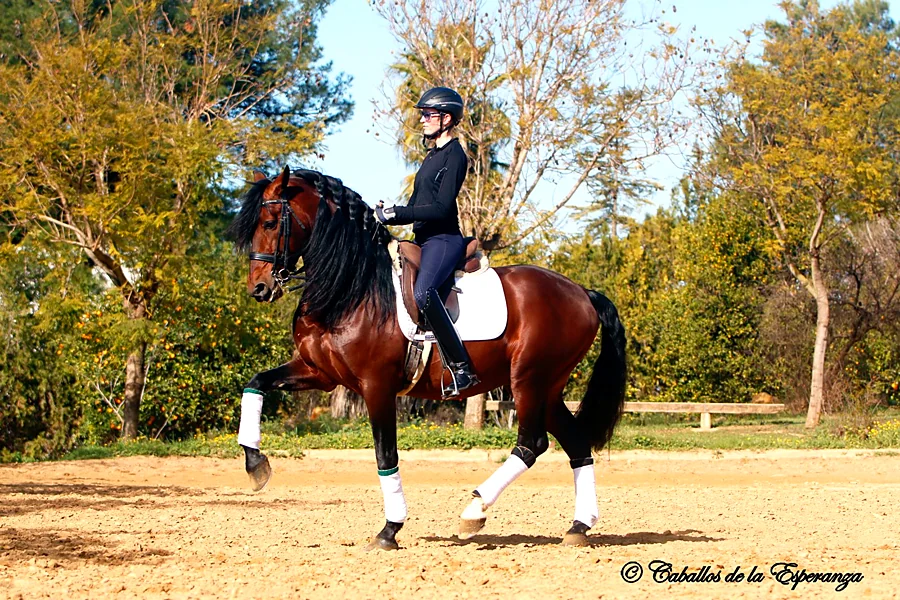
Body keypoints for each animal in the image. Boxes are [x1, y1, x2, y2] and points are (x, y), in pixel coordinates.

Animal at [228, 165, 627, 550]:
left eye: (269, 223)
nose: (259, 288)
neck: (353, 287)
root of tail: (581, 292)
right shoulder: (319, 373)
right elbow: (255, 384)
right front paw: (255, 465)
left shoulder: (376, 386)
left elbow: (386, 456)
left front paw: (389, 530)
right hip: (549, 388)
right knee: (576, 445)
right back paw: (578, 527)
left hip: (529, 380)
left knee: (532, 444)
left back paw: (474, 511)